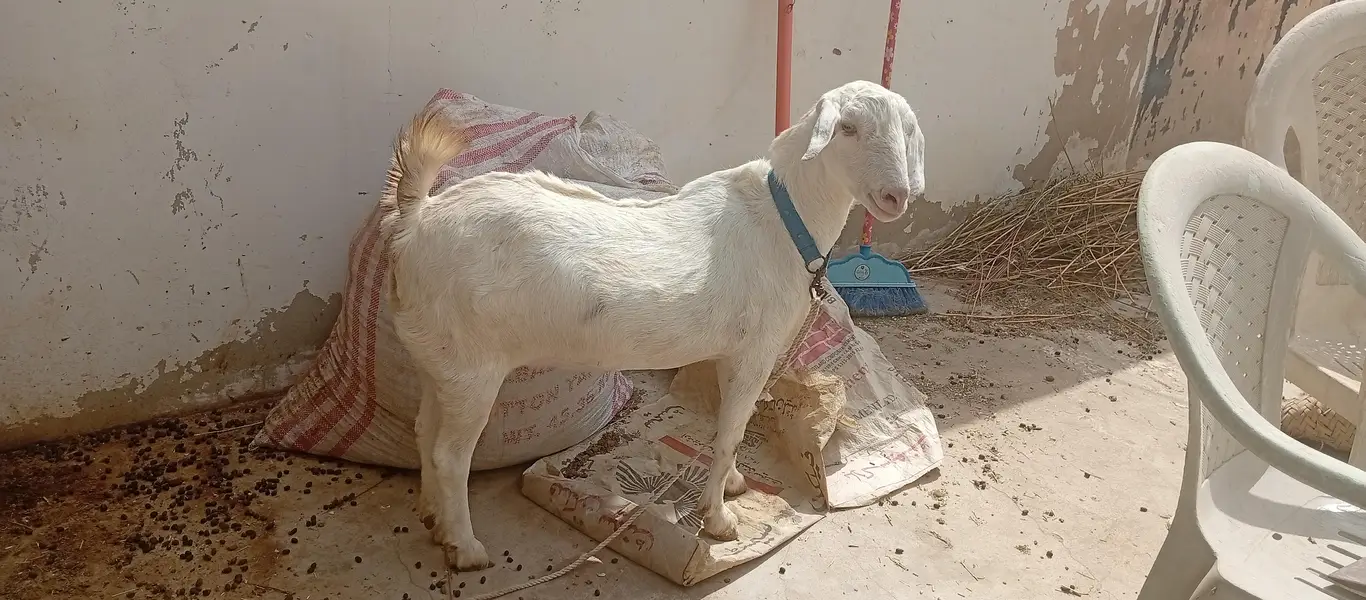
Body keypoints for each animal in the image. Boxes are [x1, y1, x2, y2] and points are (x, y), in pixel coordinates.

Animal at [383, 80, 926, 571]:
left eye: (905, 130)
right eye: (847, 128)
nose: (895, 196)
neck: (783, 220)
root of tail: (417, 219)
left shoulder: (730, 353)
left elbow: (729, 425)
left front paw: (731, 484)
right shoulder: (755, 352)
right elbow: (731, 431)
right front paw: (719, 522)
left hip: (440, 360)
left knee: (425, 433)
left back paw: (434, 520)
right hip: (473, 366)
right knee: (451, 456)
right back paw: (466, 549)